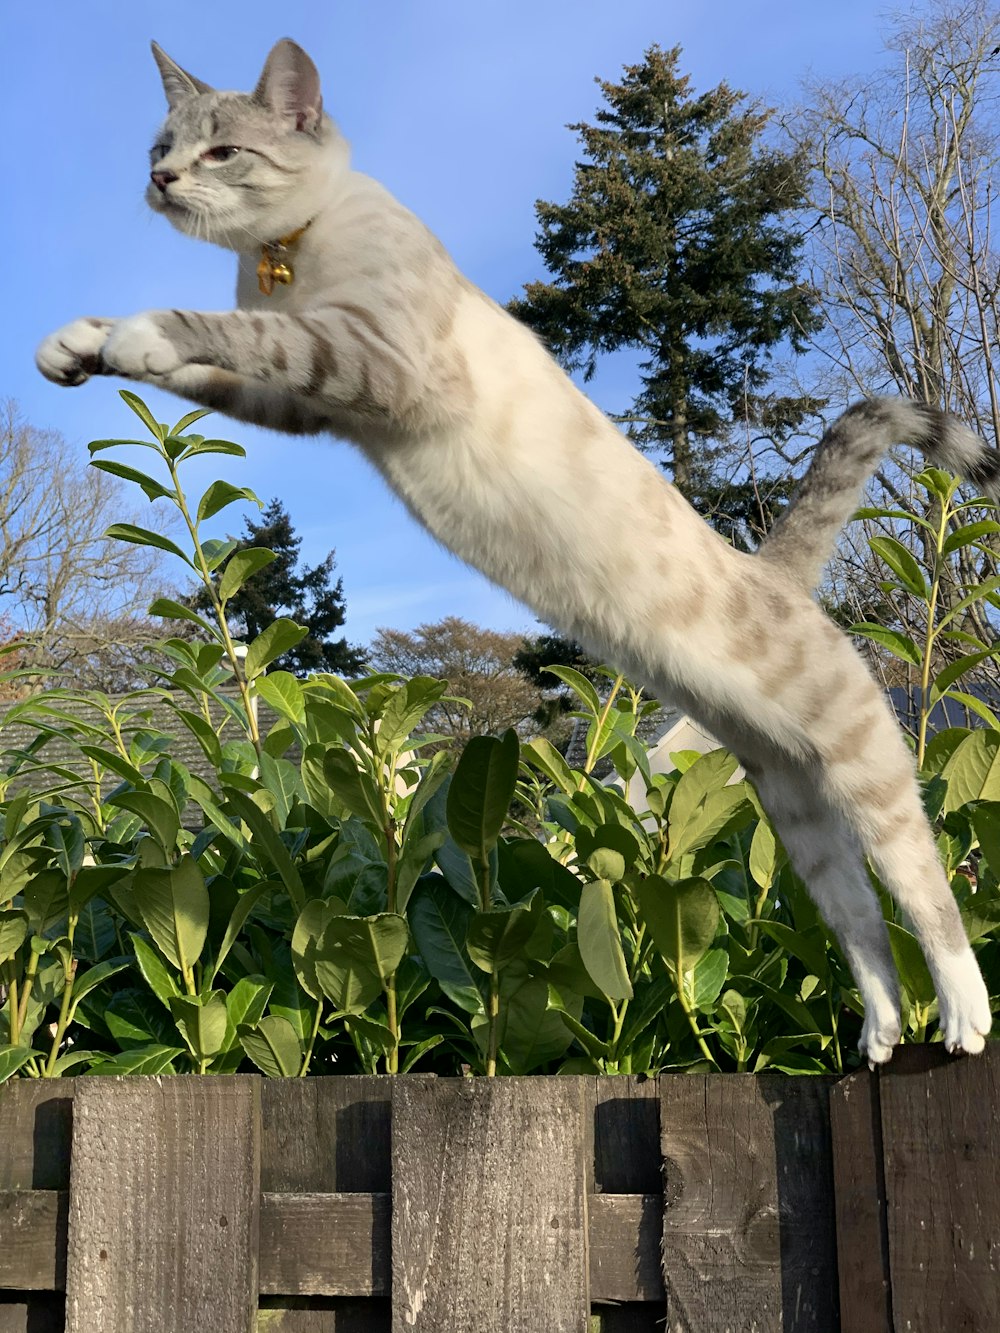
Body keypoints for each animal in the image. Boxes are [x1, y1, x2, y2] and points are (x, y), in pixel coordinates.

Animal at [35, 36, 997, 1066]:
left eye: (221, 152)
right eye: (161, 146)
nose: (161, 180)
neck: (285, 256)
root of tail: (768, 568)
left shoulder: (371, 363)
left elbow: (226, 332)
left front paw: (137, 329)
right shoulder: (308, 405)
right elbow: (212, 364)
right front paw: (78, 345)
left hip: (865, 769)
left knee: (927, 895)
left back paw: (963, 1019)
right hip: (796, 804)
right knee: (861, 927)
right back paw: (880, 1033)